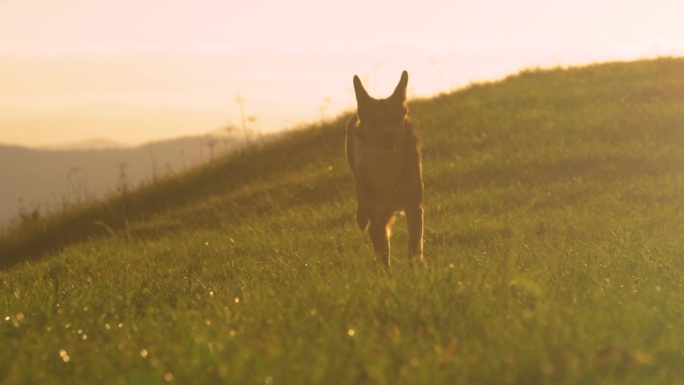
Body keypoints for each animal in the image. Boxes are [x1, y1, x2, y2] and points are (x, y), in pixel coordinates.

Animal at [348, 70, 422, 266]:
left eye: (395, 118)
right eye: (375, 121)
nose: (388, 134)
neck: (386, 161)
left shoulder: (414, 206)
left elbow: (414, 243)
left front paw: (415, 268)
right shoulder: (377, 218)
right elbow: (383, 257)